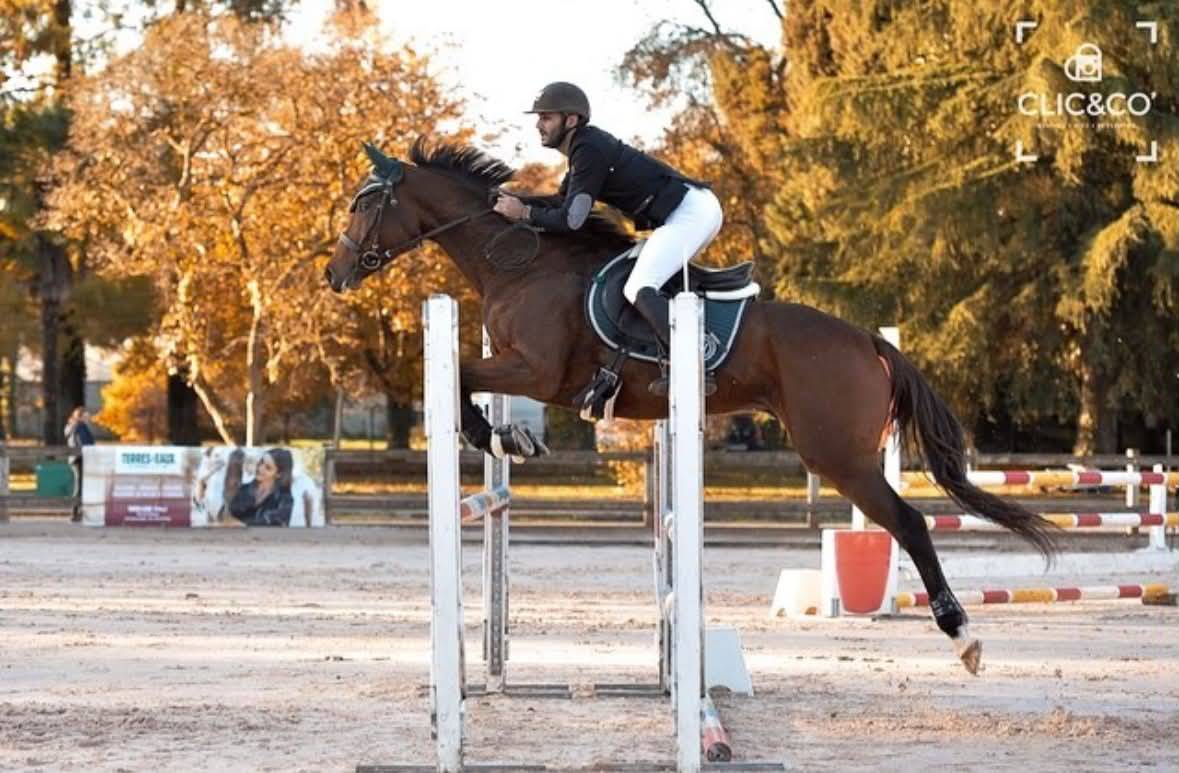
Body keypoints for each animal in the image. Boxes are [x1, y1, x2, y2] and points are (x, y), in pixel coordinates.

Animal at [325, 138, 1058, 675]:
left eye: (364, 204)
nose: (335, 275)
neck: (520, 262)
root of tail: (867, 339)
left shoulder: (536, 370)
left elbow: (457, 381)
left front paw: (502, 438)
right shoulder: (521, 367)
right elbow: (464, 382)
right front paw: (512, 439)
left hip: (838, 455)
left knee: (908, 522)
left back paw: (961, 633)